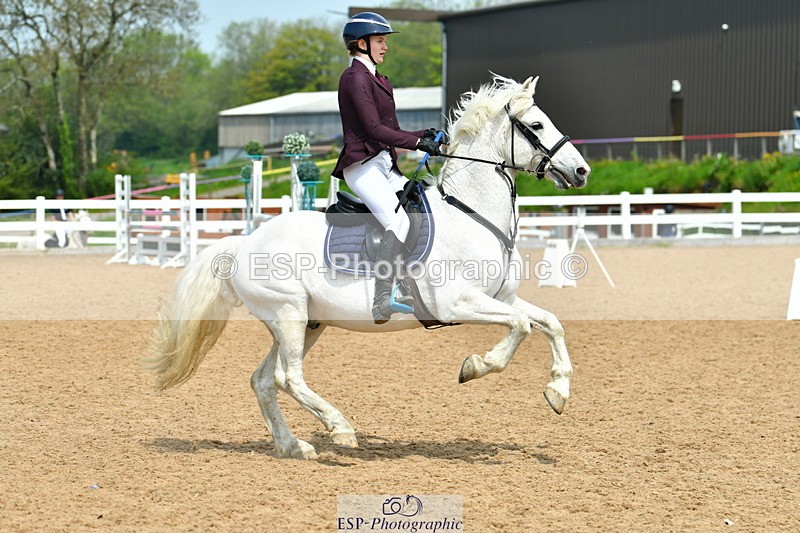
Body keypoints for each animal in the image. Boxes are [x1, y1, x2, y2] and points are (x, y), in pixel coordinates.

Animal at [147, 74, 591, 460]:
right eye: (536, 124)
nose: (582, 170)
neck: (471, 213)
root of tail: (245, 243)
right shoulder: (456, 303)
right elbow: (521, 327)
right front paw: (476, 366)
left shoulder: (501, 297)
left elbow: (549, 323)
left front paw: (558, 391)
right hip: (289, 314)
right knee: (288, 378)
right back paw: (339, 428)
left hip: (307, 322)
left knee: (264, 380)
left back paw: (294, 447)